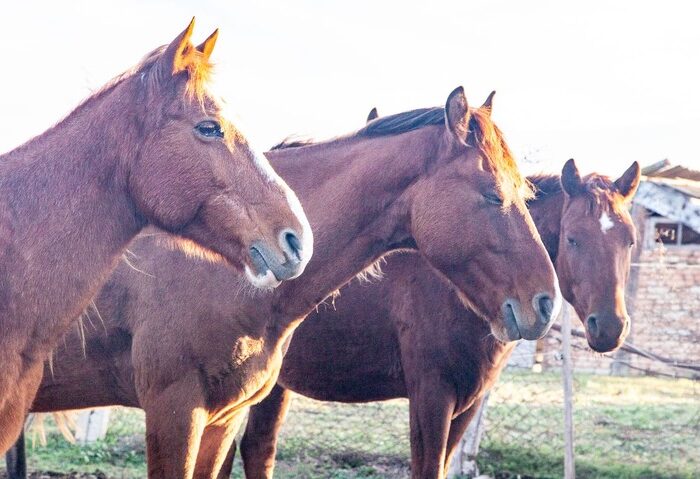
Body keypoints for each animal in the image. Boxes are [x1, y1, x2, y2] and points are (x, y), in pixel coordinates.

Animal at [6, 87, 561, 478]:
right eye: (493, 194)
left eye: (526, 191)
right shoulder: (174, 412)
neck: (226, 268)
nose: (545, 302)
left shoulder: (221, 419)